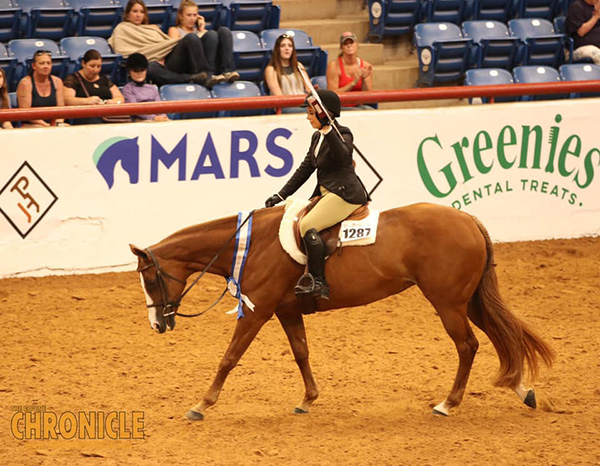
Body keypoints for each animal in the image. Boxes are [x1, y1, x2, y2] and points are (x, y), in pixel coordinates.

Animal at [130, 202, 552, 420]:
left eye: (149, 278)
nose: (156, 324)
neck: (252, 245)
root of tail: (468, 219)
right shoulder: (286, 311)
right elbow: (301, 353)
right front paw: (307, 399)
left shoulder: (258, 311)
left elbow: (229, 358)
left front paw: (201, 405)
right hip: (469, 300)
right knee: (501, 337)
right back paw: (523, 391)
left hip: (448, 303)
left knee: (468, 346)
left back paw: (448, 403)